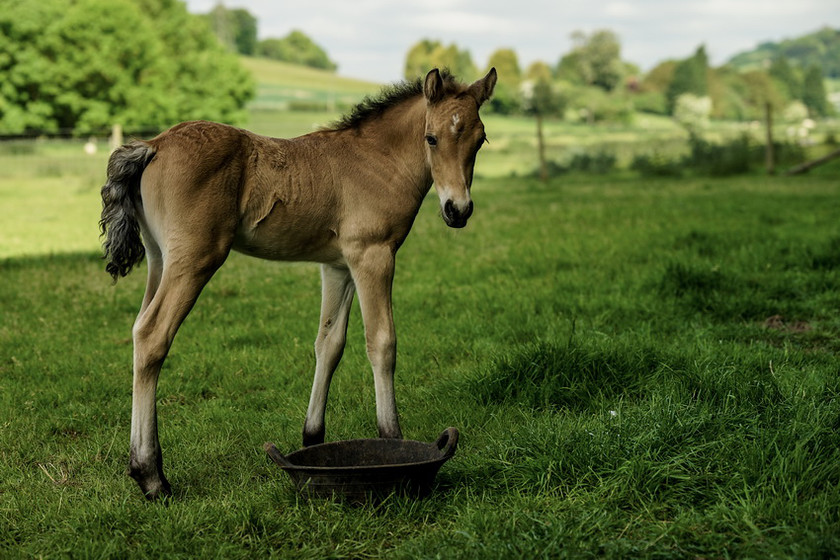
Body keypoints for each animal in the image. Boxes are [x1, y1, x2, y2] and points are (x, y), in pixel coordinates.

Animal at [99, 66, 496, 498]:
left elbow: (329, 344)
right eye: (431, 137)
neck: (378, 160)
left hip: (160, 260)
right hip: (195, 259)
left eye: (480, 139)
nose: (458, 210)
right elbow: (382, 343)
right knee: (153, 335)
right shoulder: (372, 255)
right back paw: (151, 477)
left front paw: (312, 437)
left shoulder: (337, 266)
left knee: (139, 329)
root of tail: (153, 145)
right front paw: (392, 437)